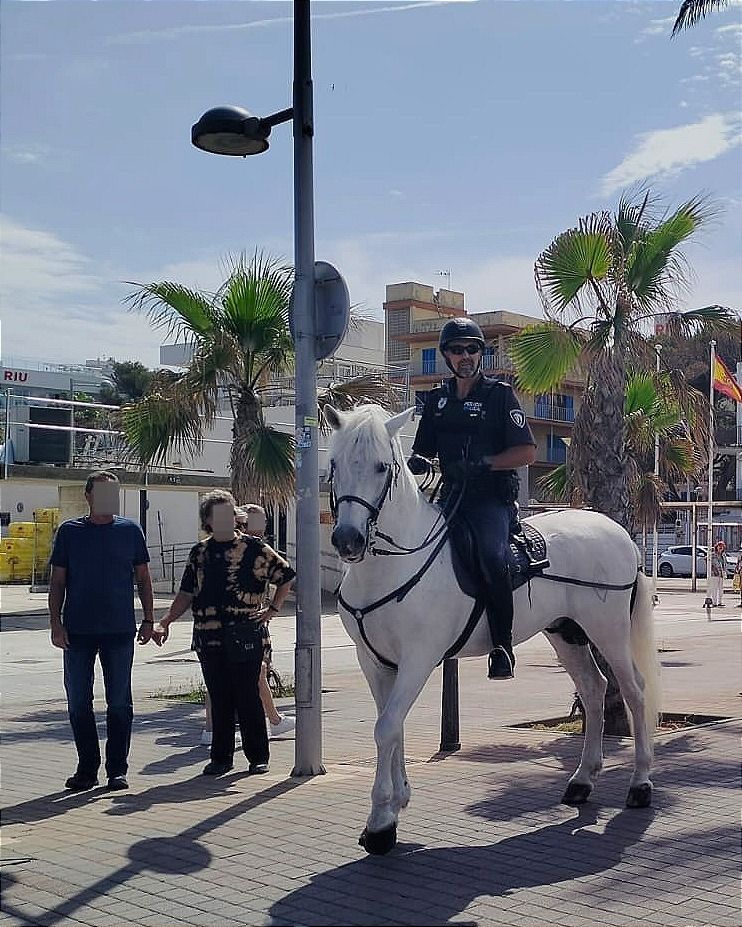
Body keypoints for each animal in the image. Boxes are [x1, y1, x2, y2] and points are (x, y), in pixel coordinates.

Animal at [326, 406, 664, 856]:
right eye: (335, 464)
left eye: (383, 467)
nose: (347, 539)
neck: (392, 564)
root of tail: (618, 531)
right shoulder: (374, 661)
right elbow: (391, 726)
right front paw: (397, 802)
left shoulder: (418, 660)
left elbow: (386, 728)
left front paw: (381, 822)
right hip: (566, 633)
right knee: (593, 691)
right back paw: (582, 780)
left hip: (608, 632)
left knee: (634, 690)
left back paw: (640, 784)